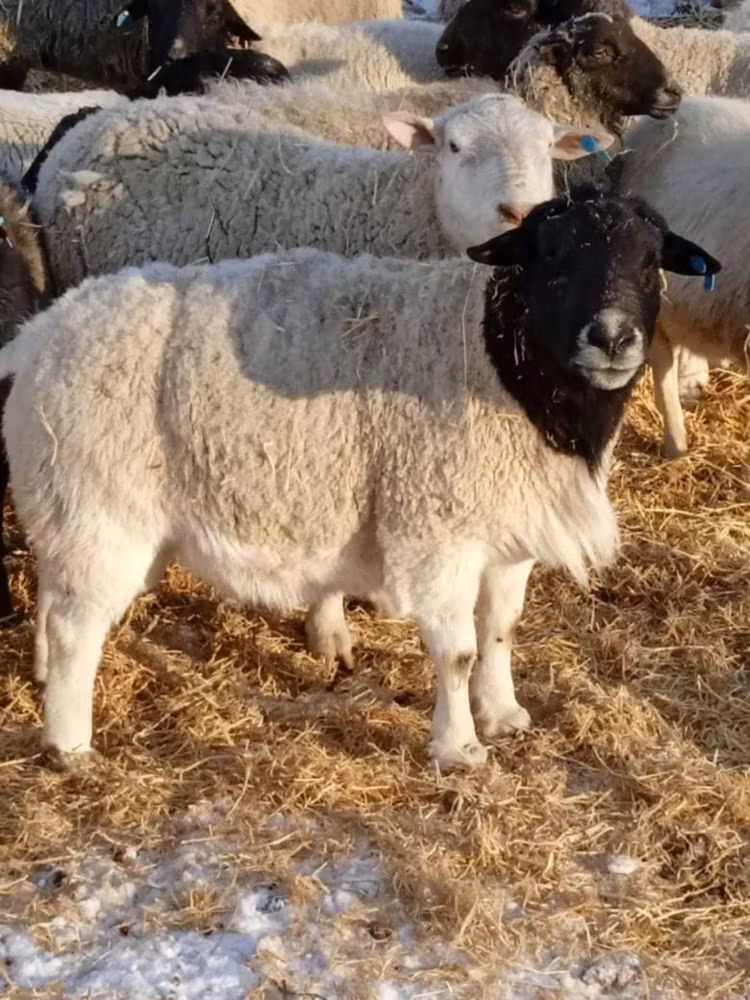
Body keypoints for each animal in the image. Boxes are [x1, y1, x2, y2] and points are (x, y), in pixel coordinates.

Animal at [0, 186, 720, 767]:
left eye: (650, 261)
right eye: (553, 259)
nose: (613, 338)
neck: (504, 366)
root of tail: (40, 334)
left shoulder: (508, 530)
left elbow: (500, 630)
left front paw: (503, 713)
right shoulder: (439, 527)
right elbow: (457, 652)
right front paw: (458, 748)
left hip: (64, 507)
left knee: (53, 601)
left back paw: (42, 679)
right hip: (101, 511)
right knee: (76, 629)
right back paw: (70, 745)